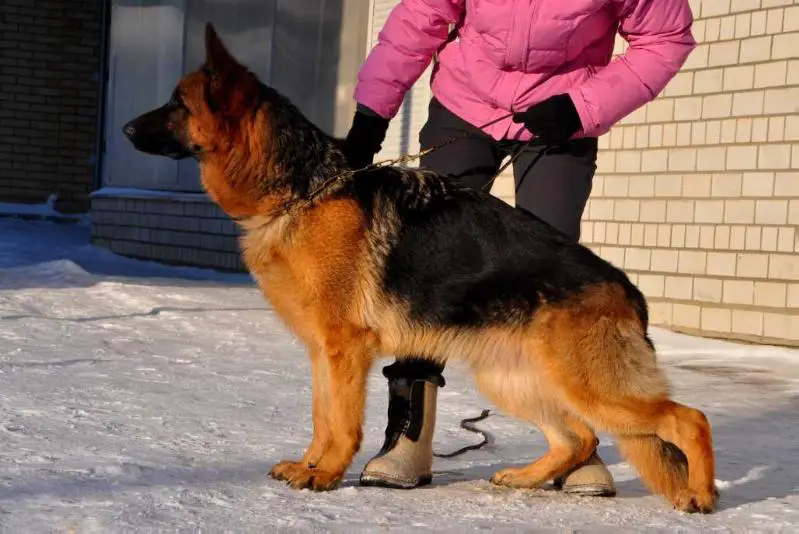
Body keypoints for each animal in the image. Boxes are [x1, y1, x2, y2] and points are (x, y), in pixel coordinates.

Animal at [125, 23, 720, 516]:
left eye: (177, 103)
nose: (127, 129)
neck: (303, 188)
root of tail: (629, 292)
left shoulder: (345, 351)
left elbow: (342, 423)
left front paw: (328, 474)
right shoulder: (323, 353)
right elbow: (321, 416)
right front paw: (309, 464)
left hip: (589, 385)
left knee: (687, 418)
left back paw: (700, 494)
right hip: (511, 379)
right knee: (581, 437)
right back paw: (525, 477)